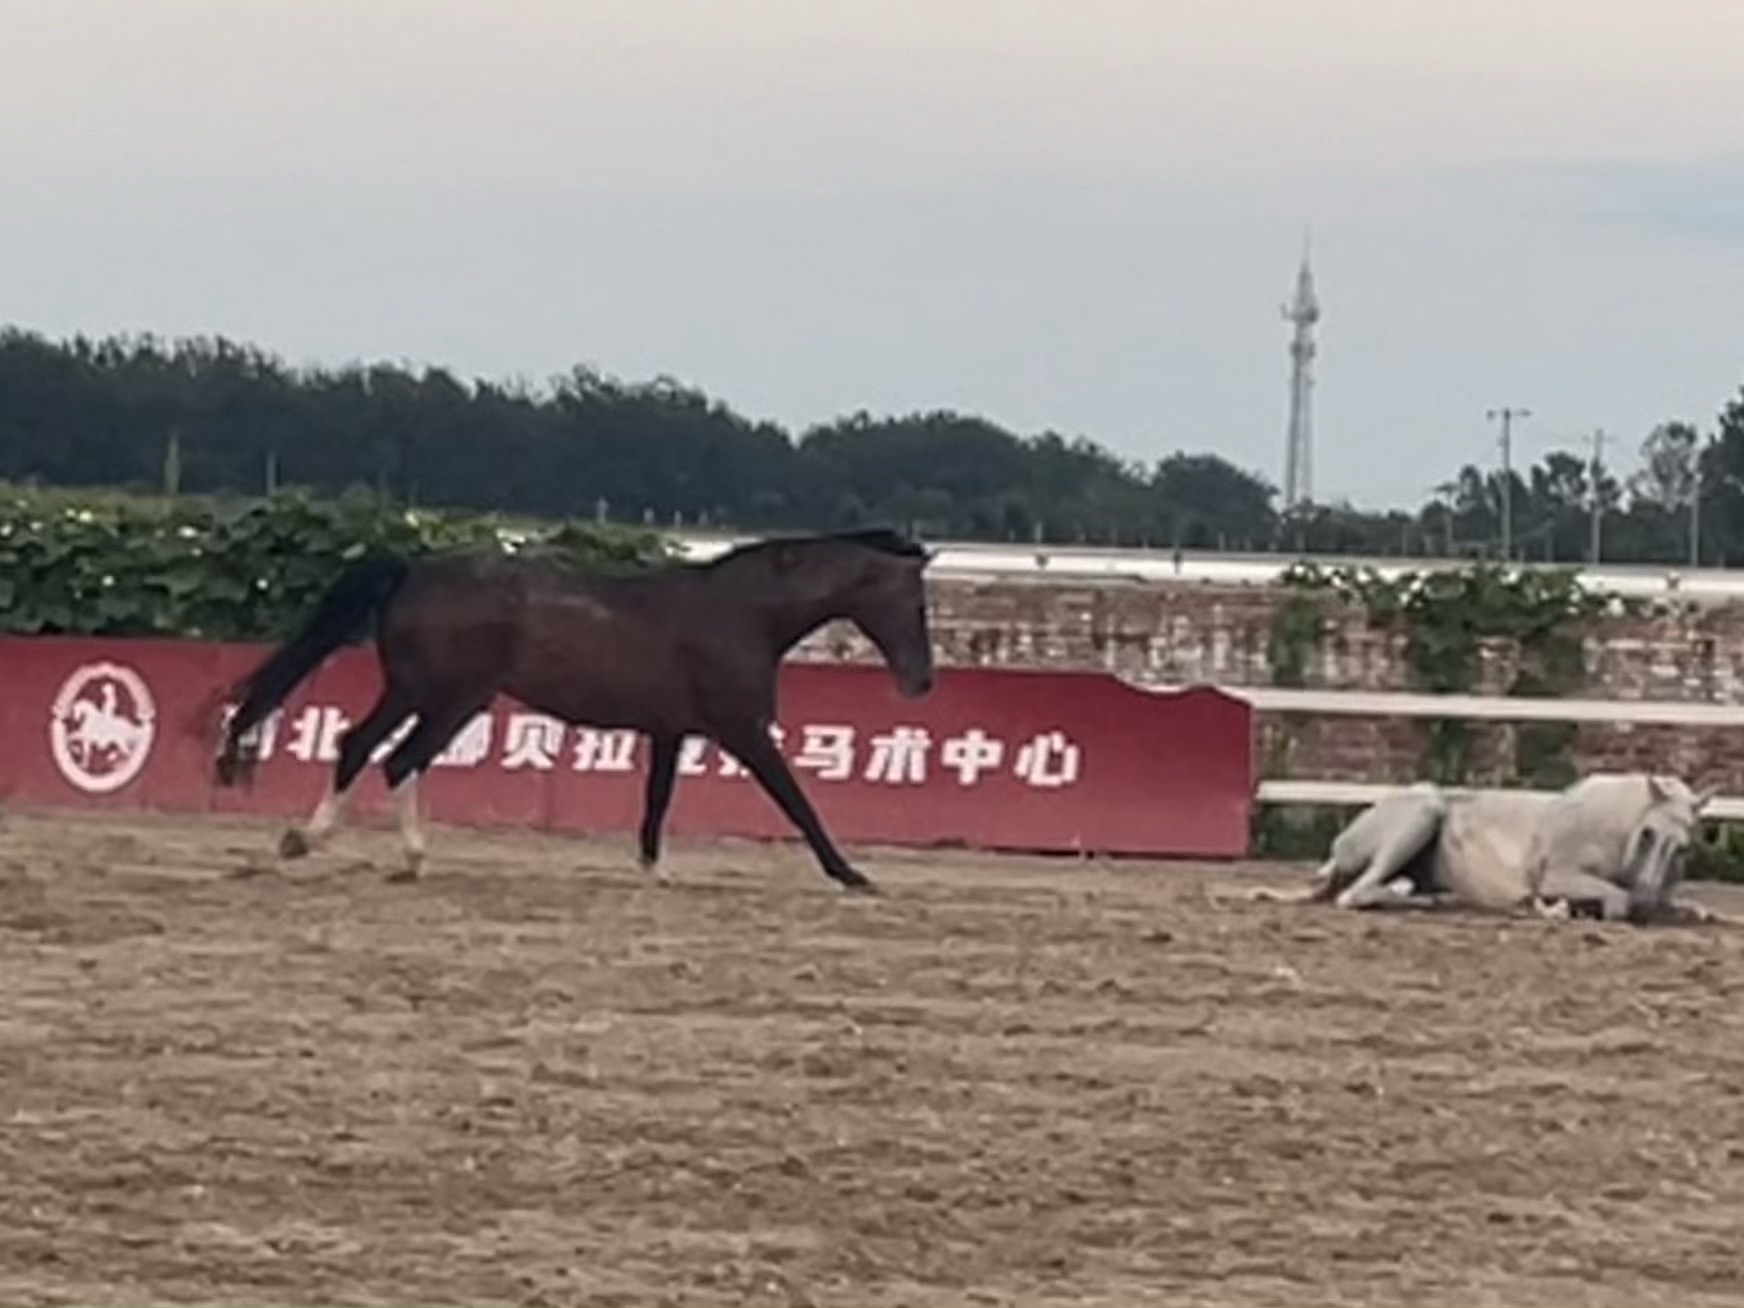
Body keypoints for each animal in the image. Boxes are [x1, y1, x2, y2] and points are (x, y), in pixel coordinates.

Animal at [211, 528, 935, 893]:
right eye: (914, 601)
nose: (921, 680)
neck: (745, 614)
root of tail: (413, 570)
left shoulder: (671, 729)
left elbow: (657, 800)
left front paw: (653, 868)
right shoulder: (743, 730)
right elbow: (796, 800)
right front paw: (851, 873)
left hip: (414, 690)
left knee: (360, 746)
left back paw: (313, 841)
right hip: (453, 697)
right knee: (397, 759)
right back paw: (402, 857)